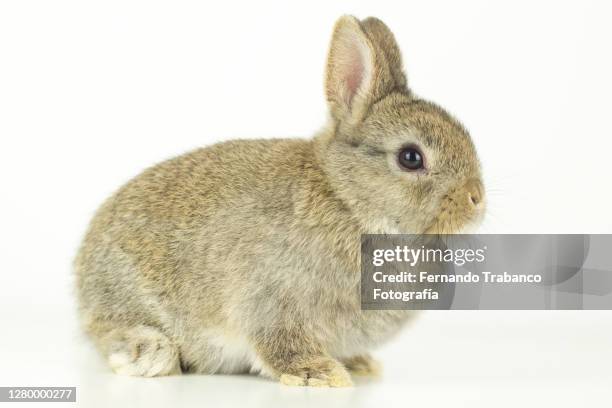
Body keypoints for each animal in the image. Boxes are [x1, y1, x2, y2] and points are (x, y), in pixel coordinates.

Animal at [74, 15, 486, 386]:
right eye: (410, 157)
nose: (476, 198)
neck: (349, 202)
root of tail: (81, 271)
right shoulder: (273, 302)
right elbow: (280, 344)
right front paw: (319, 375)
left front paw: (357, 365)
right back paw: (150, 354)